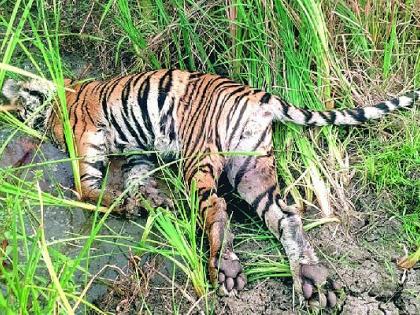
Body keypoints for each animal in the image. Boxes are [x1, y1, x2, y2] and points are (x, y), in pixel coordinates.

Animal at [1, 70, 418, 310]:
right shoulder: (137, 152)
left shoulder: (87, 146)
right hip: (252, 169)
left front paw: (124, 205)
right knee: (286, 216)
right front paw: (150, 201)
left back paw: (225, 267)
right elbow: (138, 179)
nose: (11, 115)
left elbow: (86, 192)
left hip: (198, 153)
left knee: (215, 206)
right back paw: (312, 278)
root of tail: (257, 95)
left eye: (15, 103)